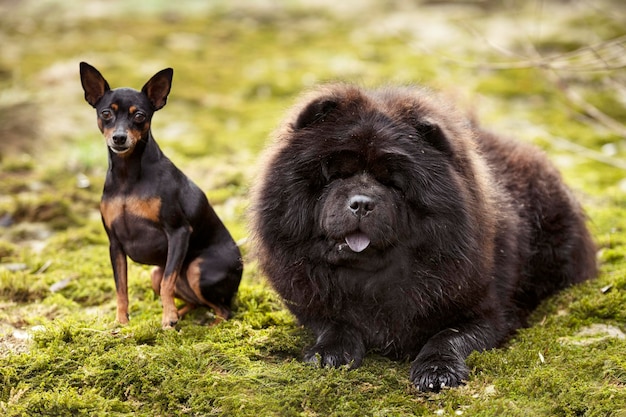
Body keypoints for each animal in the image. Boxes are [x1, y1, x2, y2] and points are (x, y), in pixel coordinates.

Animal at [78, 61, 244, 328]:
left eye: (139, 116)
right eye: (105, 114)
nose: (119, 138)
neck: (127, 177)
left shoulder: (178, 232)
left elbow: (168, 281)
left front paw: (167, 320)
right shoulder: (115, 244)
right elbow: (121, 288)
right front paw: (121, 322)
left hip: (197, 269)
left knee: (224, 309)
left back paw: (202, 323)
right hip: (154, 274)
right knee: (196, 302)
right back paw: (181, 315)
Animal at [249, 83, 596, 390]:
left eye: (392, 182)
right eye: (337, 175)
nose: (361, 203)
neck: (370, 280)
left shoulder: (487, 311)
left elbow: (449, 336)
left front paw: (436, 371)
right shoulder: (309, 298)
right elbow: (332, 323)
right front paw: (329, 353)